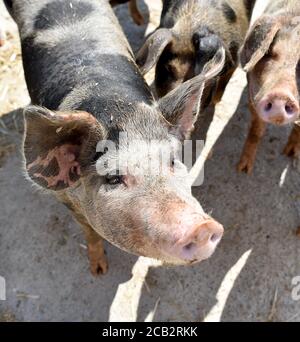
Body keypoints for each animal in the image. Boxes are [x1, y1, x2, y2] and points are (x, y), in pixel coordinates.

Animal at [4, 0, 225, 276]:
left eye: (173, 161)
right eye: (113, 178)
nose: (202, 228)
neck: (114, 105)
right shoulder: (65, 199)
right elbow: (89, 232)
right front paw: (99, 270)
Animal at [238, 0, 298, 174]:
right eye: (270, 53)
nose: (281, 95)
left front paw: (290, 154)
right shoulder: (253, 95)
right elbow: (256, 130)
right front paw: (243, 169)